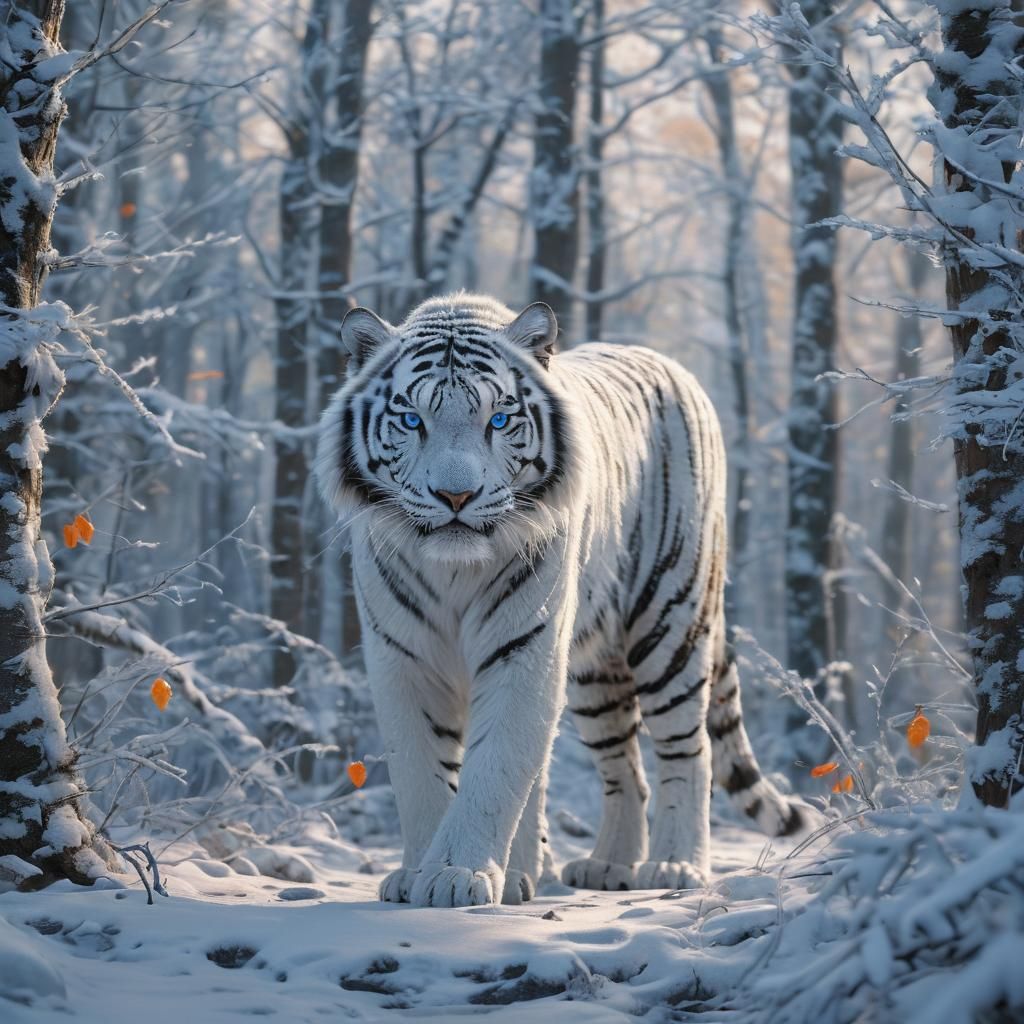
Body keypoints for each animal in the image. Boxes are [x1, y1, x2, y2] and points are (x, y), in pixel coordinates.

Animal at [315, 292, 807, 908]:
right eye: (412, 420)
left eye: (498, 419)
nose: (456, 496)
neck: (455, 572)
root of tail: (674, 366)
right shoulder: (402, 657)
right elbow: (422, 773)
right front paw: (418, 874)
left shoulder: (524, 648)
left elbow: (494, 770)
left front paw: (455, 876)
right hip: (595, 667)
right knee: (626, 767)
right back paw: (605, 865)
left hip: (669, 620)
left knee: (687, 749)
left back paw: (674, 866)